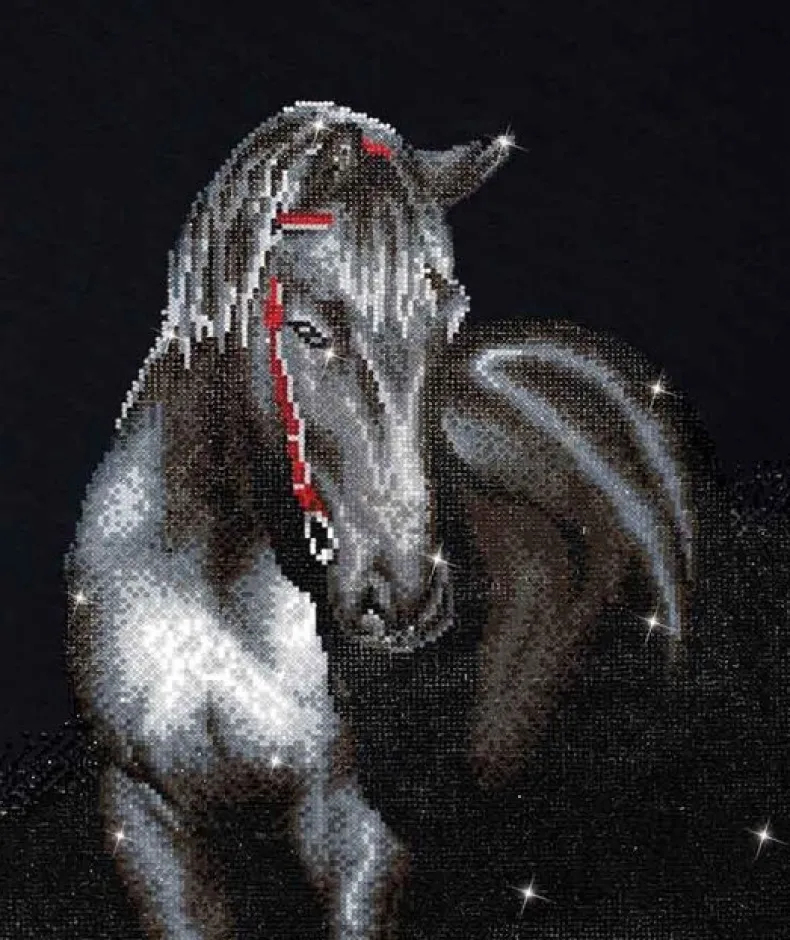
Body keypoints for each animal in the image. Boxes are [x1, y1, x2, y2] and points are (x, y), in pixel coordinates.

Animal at [66, 101, 696, 939]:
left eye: (446, 314)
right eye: (306, 330)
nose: (404, 596)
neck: (213, 585)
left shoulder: (356, 833)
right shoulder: (145, 819)